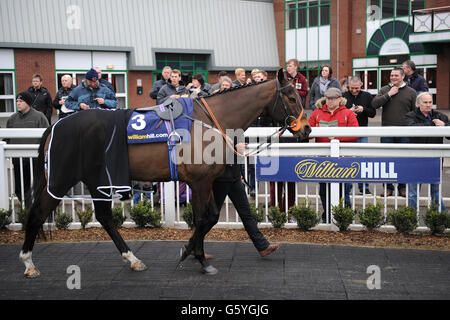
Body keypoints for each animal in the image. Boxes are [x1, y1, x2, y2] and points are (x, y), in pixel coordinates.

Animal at [19, 69, 312, 276]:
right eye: (291, 97)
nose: (307, 129)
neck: (210, 120)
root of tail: (56, 126)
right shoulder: (200, 181)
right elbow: (203, 218)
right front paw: (197, 257)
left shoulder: (206, 181)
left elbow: (211, 217)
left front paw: (192, 251)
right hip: (60, 179)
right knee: (36, 214)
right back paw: (28, 263)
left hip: (96, 180)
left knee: (104, 217)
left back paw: (133, 259)